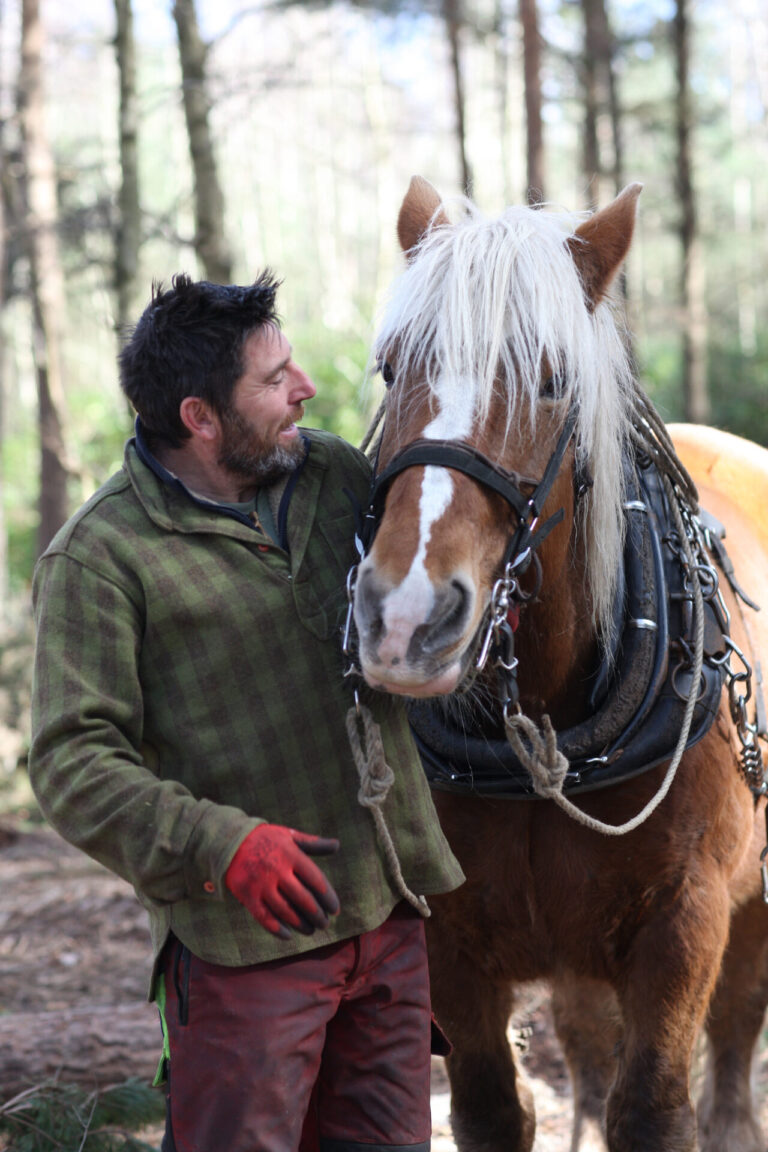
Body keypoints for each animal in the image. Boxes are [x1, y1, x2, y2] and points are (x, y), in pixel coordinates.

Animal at [349, 176, 768, 1152]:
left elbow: (653, 1108)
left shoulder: (684, 921)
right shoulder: (452, 937)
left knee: (734, 1043)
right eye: (393, 368)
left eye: (550, 380)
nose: (407, 617)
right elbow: (494, 1109)